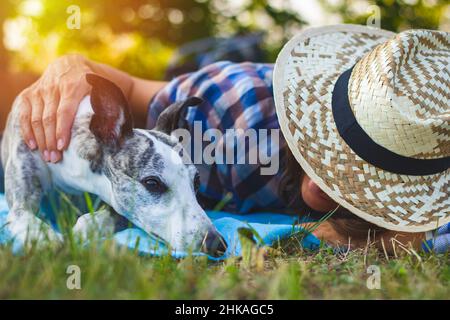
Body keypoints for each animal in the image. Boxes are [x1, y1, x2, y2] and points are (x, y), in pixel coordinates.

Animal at [0, 74, 225, 256]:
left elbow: (103, 216)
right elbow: (23, 215)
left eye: (196, 182)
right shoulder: (21, 199)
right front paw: (46, 240)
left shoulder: (119, 205)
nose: (217, 243)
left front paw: (80, 232)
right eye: (152, 183)